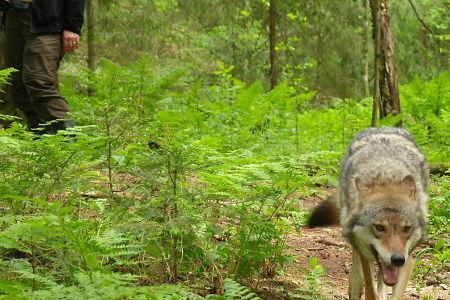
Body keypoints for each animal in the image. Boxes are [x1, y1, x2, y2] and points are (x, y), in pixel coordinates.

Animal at [308, 127, 428, 300]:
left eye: (407, 228)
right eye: (379, 227)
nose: (398, 259)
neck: (386, 176)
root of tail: (383, 127)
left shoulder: (408, 259)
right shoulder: (365, 253)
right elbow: (370, 289)